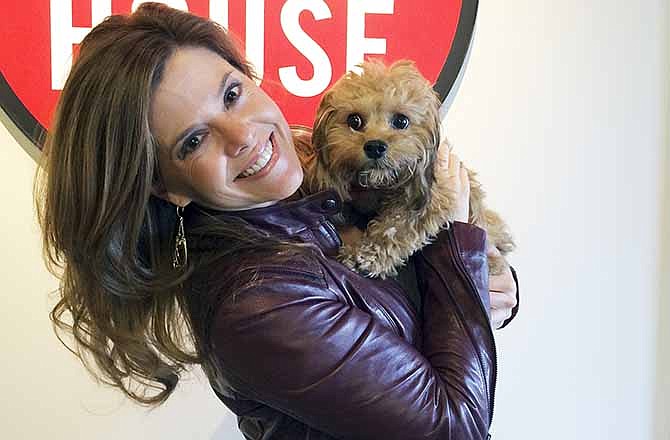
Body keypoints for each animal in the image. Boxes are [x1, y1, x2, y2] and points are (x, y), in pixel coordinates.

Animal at [298, 60, 516, 278]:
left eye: (401, 121)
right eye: (354, 120)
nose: (375, 146)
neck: (380, 185)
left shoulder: (432, 199)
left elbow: (395, 227)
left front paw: (365, 257)